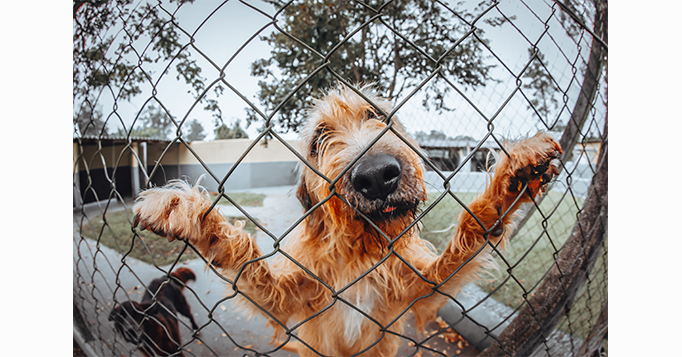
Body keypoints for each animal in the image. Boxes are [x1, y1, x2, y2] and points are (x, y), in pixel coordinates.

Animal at [131, 85, 556, 354]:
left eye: (377, 115)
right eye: (319, 140)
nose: (377, 175)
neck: (358, 254)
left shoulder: (422, 288)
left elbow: (470, 235)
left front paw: (509, 183)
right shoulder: (287, 299)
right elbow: (247, 261)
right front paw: (192, 214)